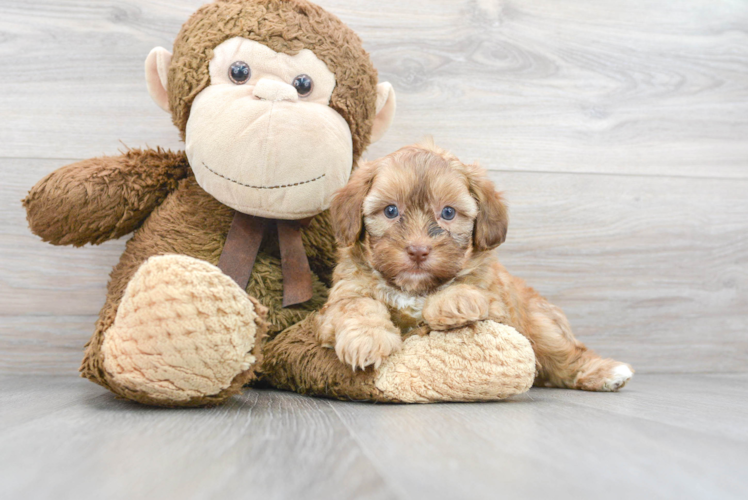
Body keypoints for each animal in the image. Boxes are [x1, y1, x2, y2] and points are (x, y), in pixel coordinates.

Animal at [318, 141, 636, 390]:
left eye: (448, 213)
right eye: (391, 211)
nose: (418, 250)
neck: (414, 289)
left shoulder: (499, 309)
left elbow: (470, 291)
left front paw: (451, 302)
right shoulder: (341, 298)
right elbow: (357, 305)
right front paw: (368, 338)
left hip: (541, 325)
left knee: (566, 355)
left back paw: (606, 372)